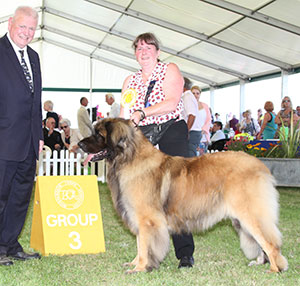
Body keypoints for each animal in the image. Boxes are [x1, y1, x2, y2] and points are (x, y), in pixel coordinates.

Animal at [79, 117, 288, 274]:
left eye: (98, 134)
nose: (79, 144)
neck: (129, 157)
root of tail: (260, 166)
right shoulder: (138, 217)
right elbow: (140, 244)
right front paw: (135, 263)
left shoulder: (147, 219)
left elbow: (145, 245)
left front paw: (140, 268)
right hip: (242, 219)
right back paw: (260, 262)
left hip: (250, 214)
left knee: (270, 242)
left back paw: (274, 269)